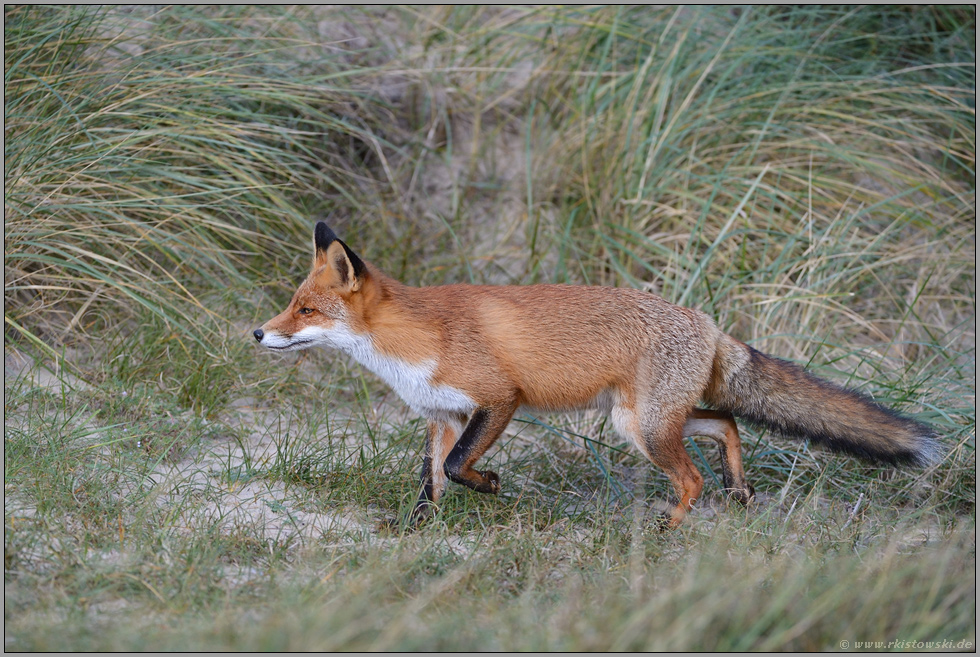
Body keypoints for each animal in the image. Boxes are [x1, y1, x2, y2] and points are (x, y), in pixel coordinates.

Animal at [255, 222, 940, 528]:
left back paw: (672, 526)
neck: (413, 342)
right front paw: (416, 532)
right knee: (726, 422)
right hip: (638, 420)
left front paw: (492, 485)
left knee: (693, 473)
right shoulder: (442, 415)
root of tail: (707, 322)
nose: (258, 334)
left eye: (306, 311)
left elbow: (457, 467)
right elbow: (432, 481)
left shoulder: (498, 399)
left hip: (644, 428)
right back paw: (740, 490)